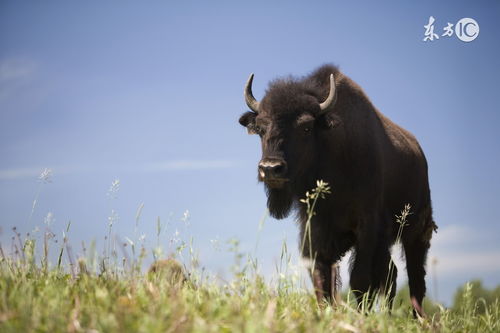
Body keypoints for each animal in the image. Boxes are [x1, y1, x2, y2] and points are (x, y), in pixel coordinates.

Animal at [238, 64, 438, 314]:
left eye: (306, 127)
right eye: (261, 128)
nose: (270, 168)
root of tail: (420, 154)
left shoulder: (367, 228)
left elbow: (360, 279)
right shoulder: (315, 232)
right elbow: (321, 279)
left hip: (416, 232)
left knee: (415, 278)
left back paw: (417, 317)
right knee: (391, 275)